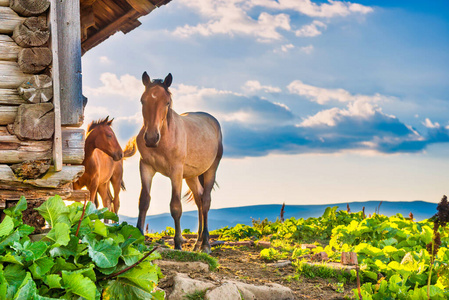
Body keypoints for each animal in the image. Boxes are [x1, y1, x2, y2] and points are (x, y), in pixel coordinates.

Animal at [135, 72, 222, 253]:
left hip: (210, 170)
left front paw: (178, 243)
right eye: (142, 100)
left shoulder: (175, 171)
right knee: (199, 199)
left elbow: (175, 206)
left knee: (206, 202)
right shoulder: (145, 167)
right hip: (191, 176)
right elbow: (144, 201)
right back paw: (197, 243)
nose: (151, 138)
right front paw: (136, 237)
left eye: (167, 102)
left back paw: (205, 244)